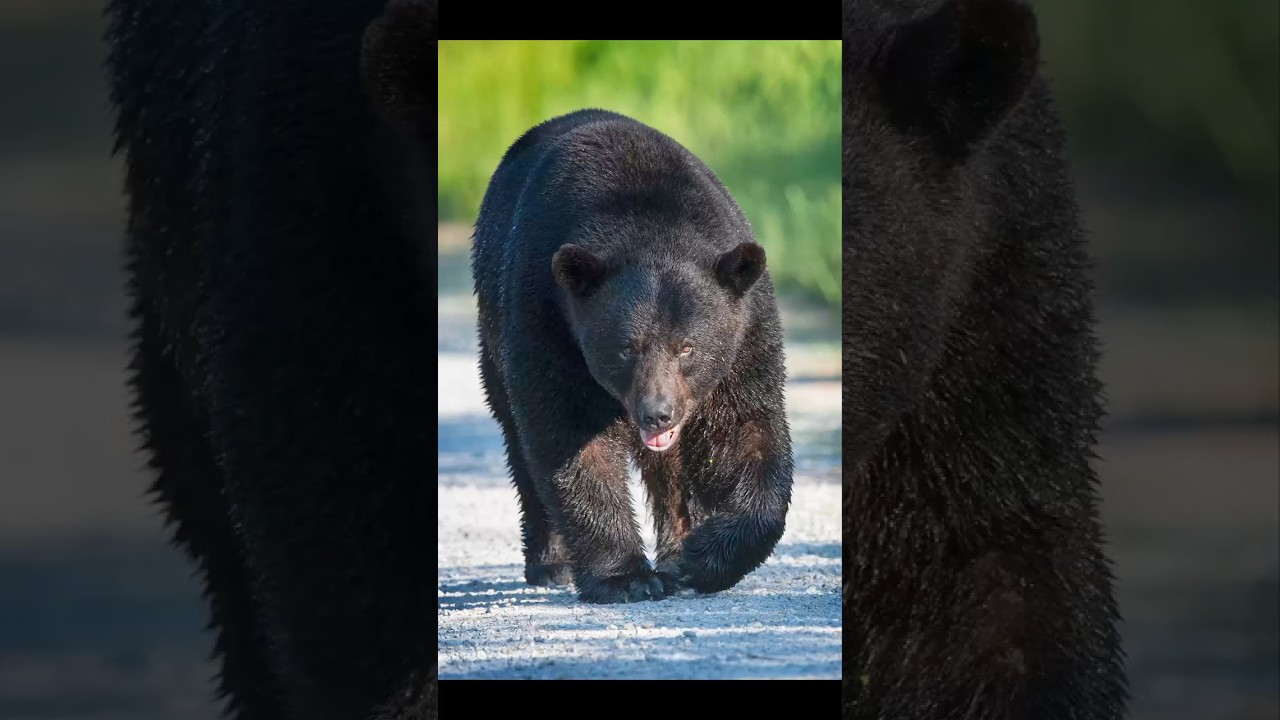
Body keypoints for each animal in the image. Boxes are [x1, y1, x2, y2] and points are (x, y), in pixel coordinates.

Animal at [472, 109, 794, 604]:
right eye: (627, 347)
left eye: (687, 346)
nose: (657, 413)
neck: (648, 220)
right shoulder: (548, 315)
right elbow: (569, 435)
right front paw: (625, 577)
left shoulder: (746, 330)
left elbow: (747, 430)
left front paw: (704, 557)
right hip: (494, 332)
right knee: (518, 442)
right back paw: (551, 562)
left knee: (672, 471)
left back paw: (677, 548)